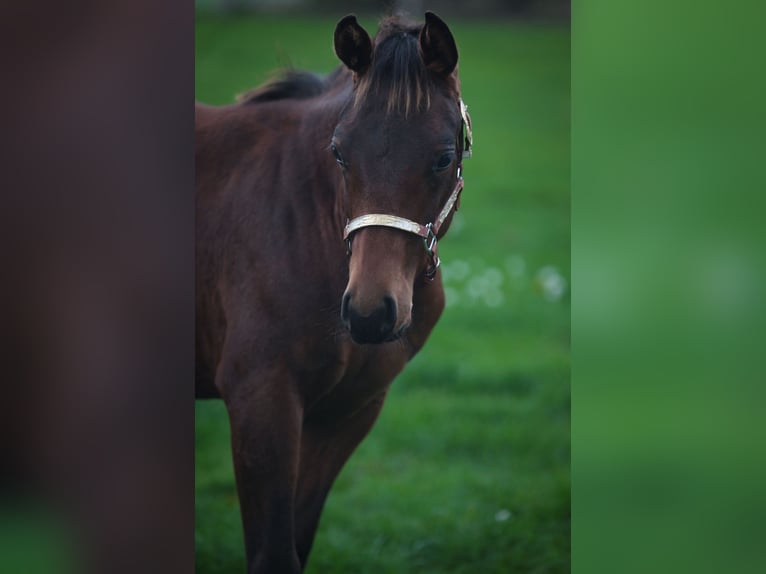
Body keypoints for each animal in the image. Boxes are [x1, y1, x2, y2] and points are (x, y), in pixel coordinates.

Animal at [195, 11, 472, 573]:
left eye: (443, 158)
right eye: (339, 152)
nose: (370, 313)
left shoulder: (345, 413)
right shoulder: (261, 402)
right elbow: (274, 553)